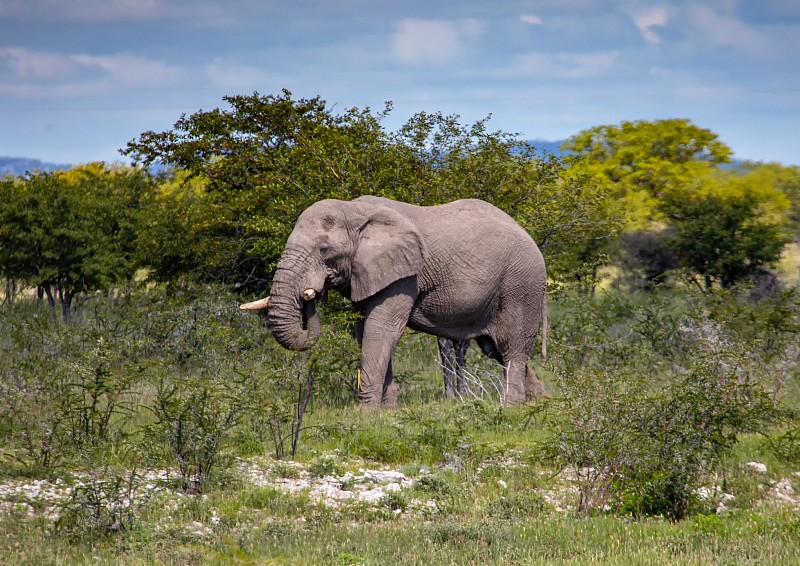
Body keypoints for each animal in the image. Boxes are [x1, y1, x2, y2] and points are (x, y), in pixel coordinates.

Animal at [241, 196, 548, 408]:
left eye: (324, 250)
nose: (311, 294)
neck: (354, 211)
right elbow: (364, 330)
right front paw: (386, 411)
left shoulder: (404, 275)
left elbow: (382, 329)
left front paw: (365, 413)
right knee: (495, 350)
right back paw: (541, 400)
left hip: (521, 285)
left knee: (512, 347)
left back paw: (511, 406)